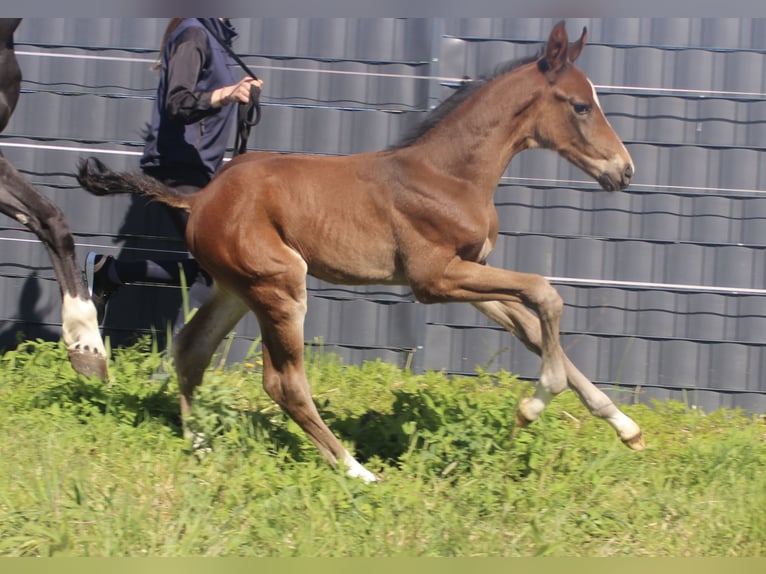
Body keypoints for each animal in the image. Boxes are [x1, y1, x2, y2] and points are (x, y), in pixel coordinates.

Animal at [77, 21, 643, 482]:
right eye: (581, 106)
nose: (625, 171)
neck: (449, 174)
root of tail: (198, 199)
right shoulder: (434, 279)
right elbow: (545, 294)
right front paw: (532, 406)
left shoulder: (469, 271)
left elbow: (530, 326)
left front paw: (624, 424)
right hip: (280, 286)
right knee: (283, 383)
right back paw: (356, 471)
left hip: (236, 288)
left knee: (192, 349)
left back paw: (199, 444)